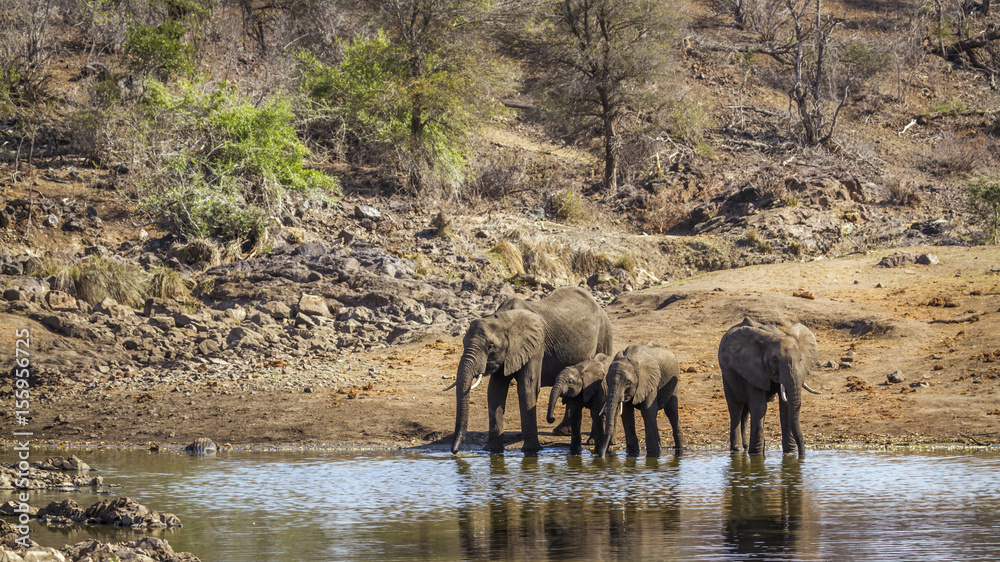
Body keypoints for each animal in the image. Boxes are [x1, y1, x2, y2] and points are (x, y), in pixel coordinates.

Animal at [449, 286, 613, 454]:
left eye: (491, 347)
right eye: (463, 343)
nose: (454, 451)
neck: (504, 319)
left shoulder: (535, 346)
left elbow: (528, 387)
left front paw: (531, 451)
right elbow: (495, 390)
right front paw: (492, 450)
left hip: (604, 334)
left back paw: (590, 440)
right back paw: (561, 431)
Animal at [718, 317, 822, 455]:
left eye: (800, 360)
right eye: (774, 361)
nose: (802, 455)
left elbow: (785, 406)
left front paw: (790, 453)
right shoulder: (753, 369)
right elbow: (759, 407)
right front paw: (756, 454)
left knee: (745, 411)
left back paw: (745, 447)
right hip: (727, 376)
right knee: (735, 408)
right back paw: (737, 449)